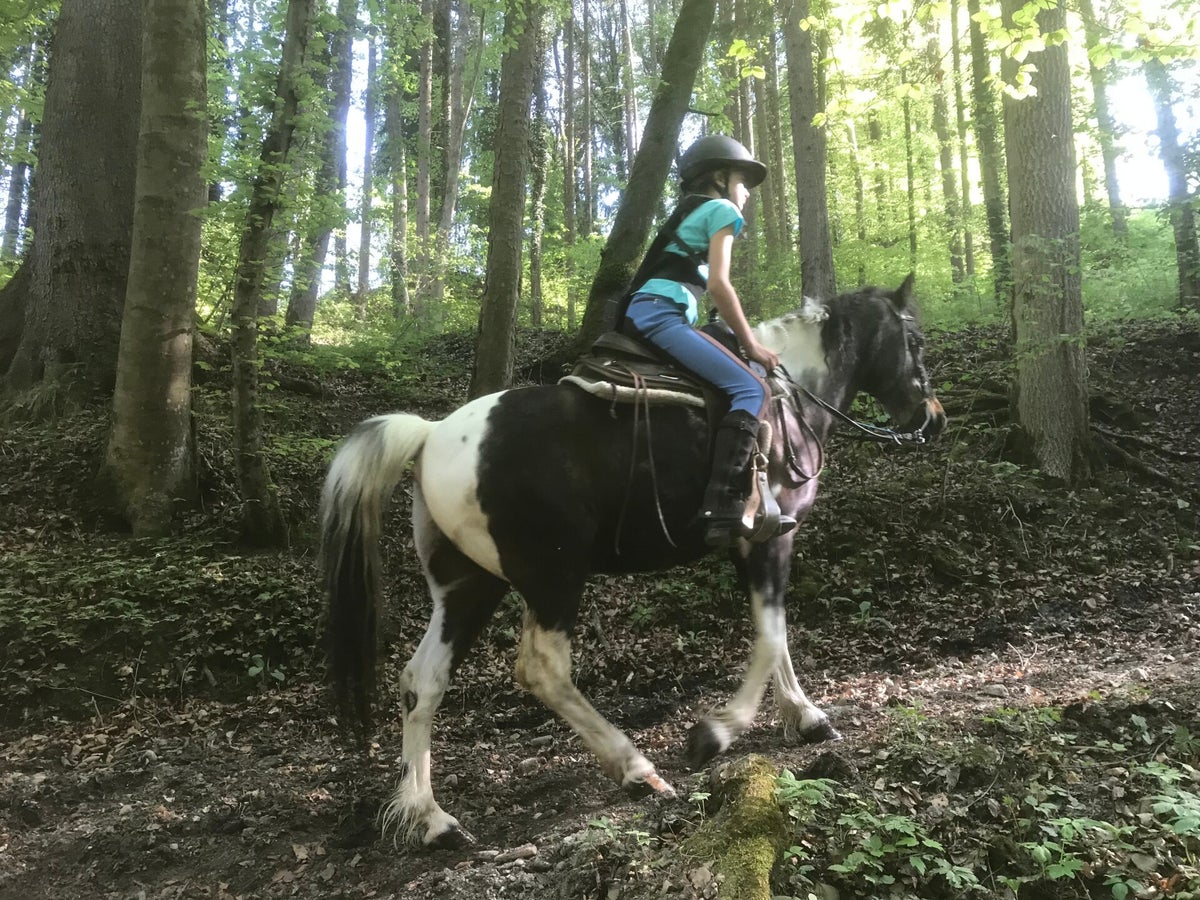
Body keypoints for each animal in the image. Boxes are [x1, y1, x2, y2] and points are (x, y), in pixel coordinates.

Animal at [320, 275, 945, 848]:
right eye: (914, 338)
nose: (934, 418)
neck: (790, 396)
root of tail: (430, 437)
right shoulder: (771, 538)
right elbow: (771, 637)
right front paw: (716, 733)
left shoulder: (752, 545)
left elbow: (775, 636)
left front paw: (805, 716)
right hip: (554, 576)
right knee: (542, 668)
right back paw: (636, 769)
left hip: (468, 587)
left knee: (421, 681)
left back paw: (433, 820)